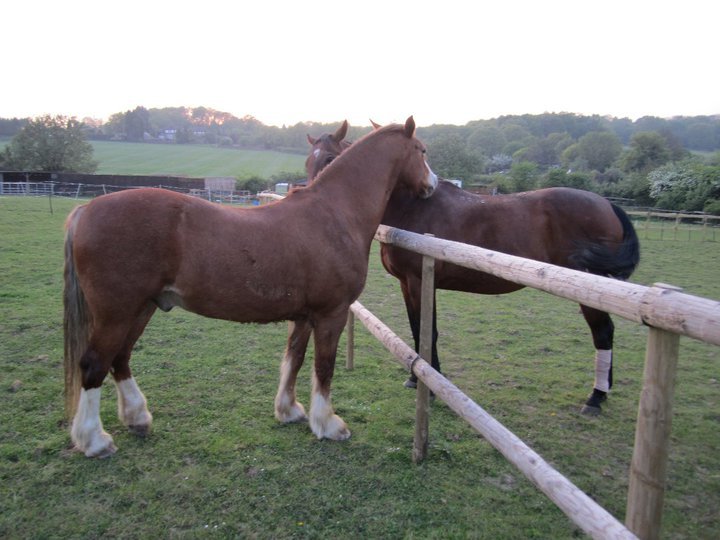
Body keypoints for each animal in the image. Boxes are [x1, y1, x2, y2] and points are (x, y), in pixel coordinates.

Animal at [63, 116, 438, 457]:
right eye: (421, 150)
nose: (432, 183)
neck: (334, 213)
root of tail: (86, 209)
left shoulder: (303, 316)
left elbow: (294, 359)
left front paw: (288, 410)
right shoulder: (330, 314)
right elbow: (323, 367)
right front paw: (328, 425)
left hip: (142, 308)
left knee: (120, 358)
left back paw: (137, 418)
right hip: (117, 312)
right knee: (94, 364)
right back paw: (94, 440)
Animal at [305, 125, 640, 415]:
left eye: (331, 159)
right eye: (309, 160)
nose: (314, 199)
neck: (415, 204)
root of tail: (607, 204)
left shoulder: (420, 281)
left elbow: (428, 330)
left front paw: (429, 383)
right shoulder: (406, 284)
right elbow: (416, 328)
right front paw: (416, 377)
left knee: (603, 333)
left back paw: (595, 397)